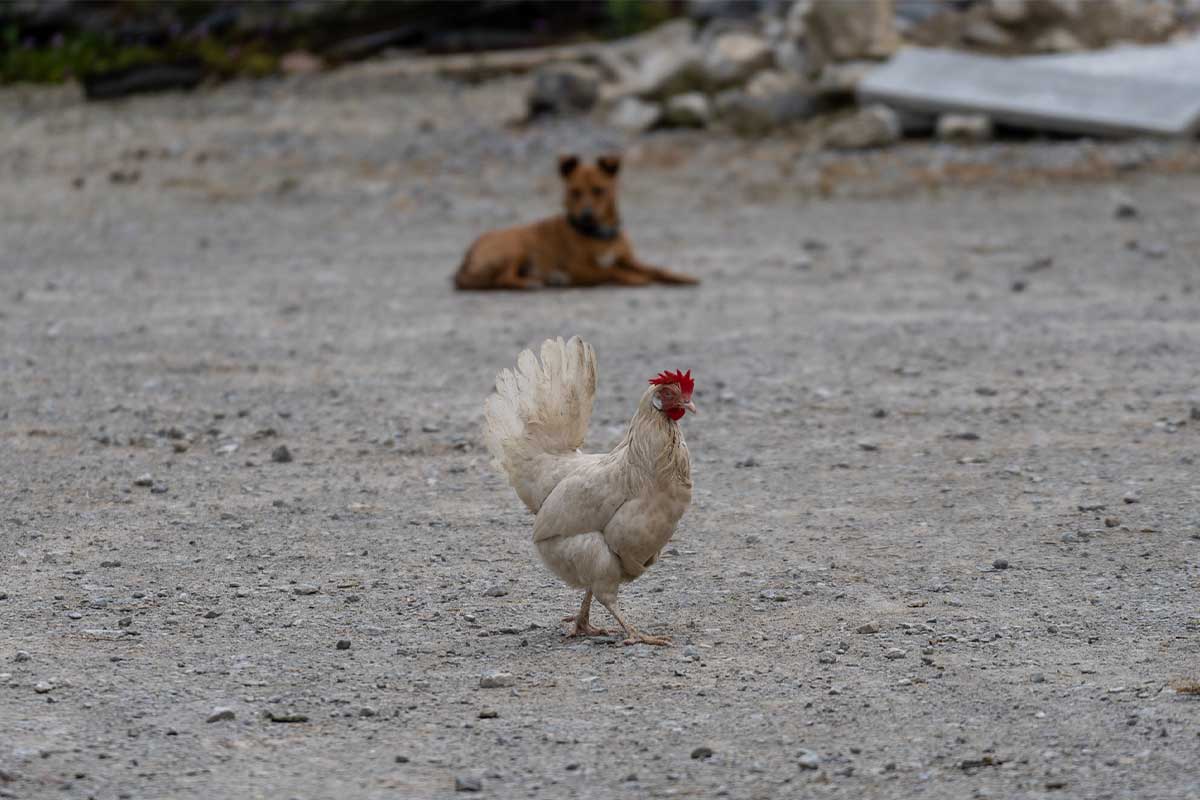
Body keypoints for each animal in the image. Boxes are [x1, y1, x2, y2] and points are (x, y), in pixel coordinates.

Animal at [451, 154, 700, 291]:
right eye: (575, 191)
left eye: (599, 190)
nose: (586, 215)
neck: (601, 237)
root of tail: (466, 256)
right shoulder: (578, 268)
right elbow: (610, 271)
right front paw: (634, 278)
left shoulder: (629, 259)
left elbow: (657, 268)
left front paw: (683, 277)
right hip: (517, 245)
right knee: (502, 278)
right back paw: (533, 283)